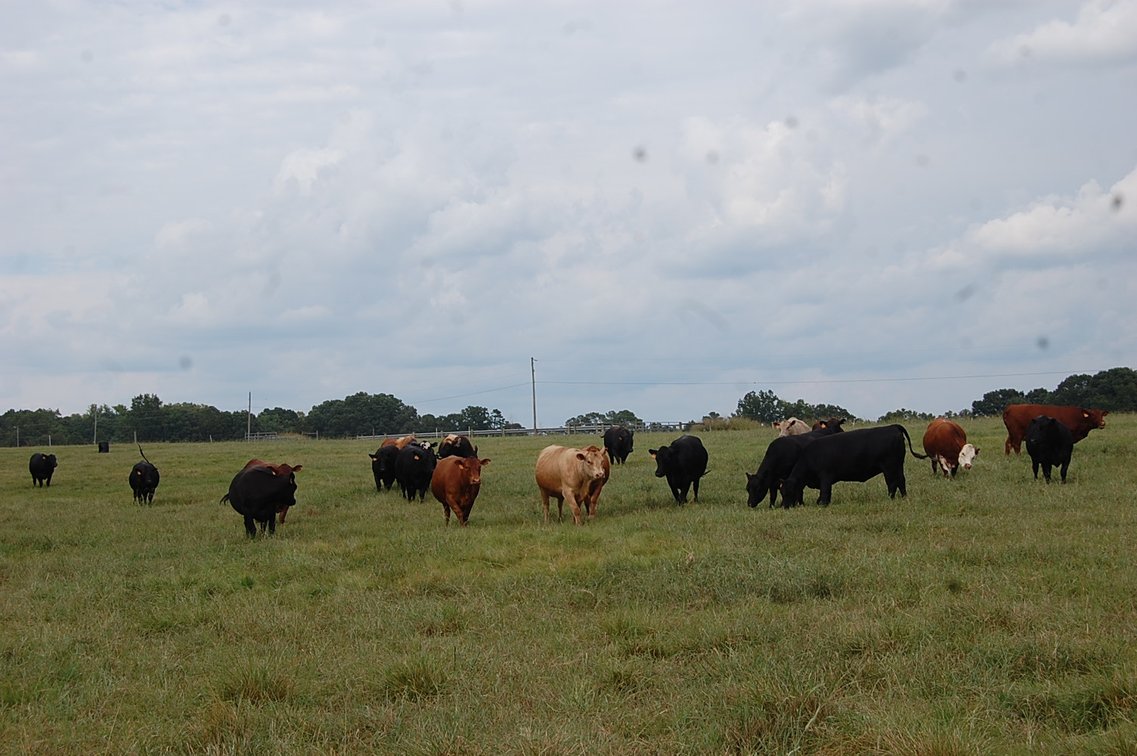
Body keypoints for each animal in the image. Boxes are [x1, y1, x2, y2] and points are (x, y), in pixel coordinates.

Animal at [780, 424, 928, 507]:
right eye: (781, 492)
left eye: (789, 492)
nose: (784, 507)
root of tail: (892, 427)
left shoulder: (825, 477)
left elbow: (825, 492)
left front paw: (822, 504)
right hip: (897, 466)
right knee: (901, 481)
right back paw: (903, 497)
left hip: (889, 467)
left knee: (892, 483)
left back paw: (890, 498)